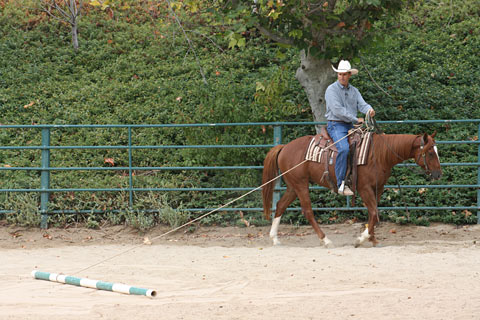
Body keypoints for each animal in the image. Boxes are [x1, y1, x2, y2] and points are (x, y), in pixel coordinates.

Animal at [262, 131, 442, 248]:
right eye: (430, 153)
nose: (439, 174)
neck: (379, 154)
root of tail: (284, 147)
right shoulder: (364, 188)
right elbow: (374, 213)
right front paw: (361, 239)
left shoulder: (378, 188)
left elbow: (373, 214)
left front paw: (372, 239)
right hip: (300, 185)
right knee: (307, 211)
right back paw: (325, 240)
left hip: (293, 186)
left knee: (280, 206)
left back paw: (275, 238)